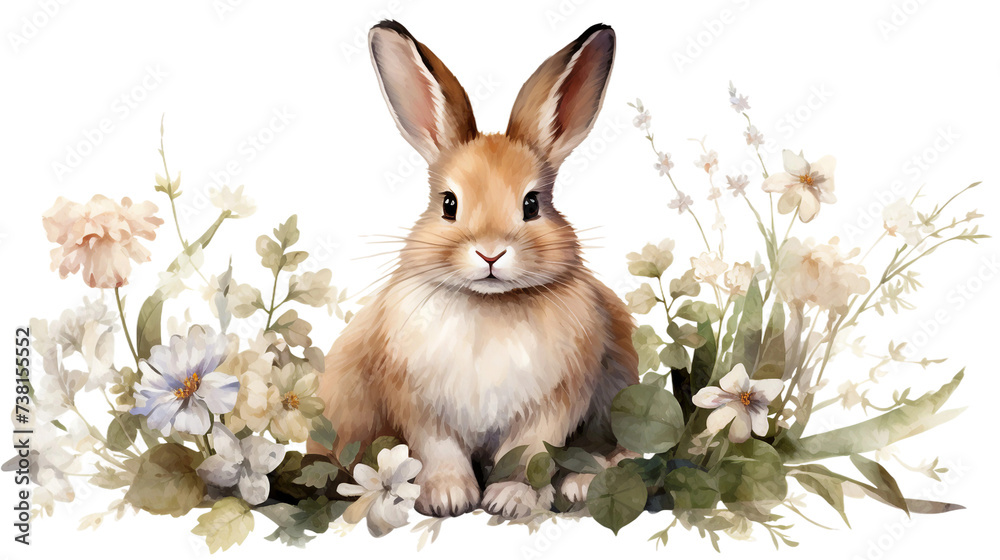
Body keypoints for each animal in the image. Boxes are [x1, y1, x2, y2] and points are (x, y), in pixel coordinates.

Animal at [308, 20, 638, 519]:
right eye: (449, 204)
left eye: (532, 204)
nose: (490, 254)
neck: (489, 305)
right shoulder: (420, 409)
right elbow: (439, 452)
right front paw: (448, 499)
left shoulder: (552, 407)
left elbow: (526, 455)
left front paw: (509, 500)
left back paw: (583, 484)